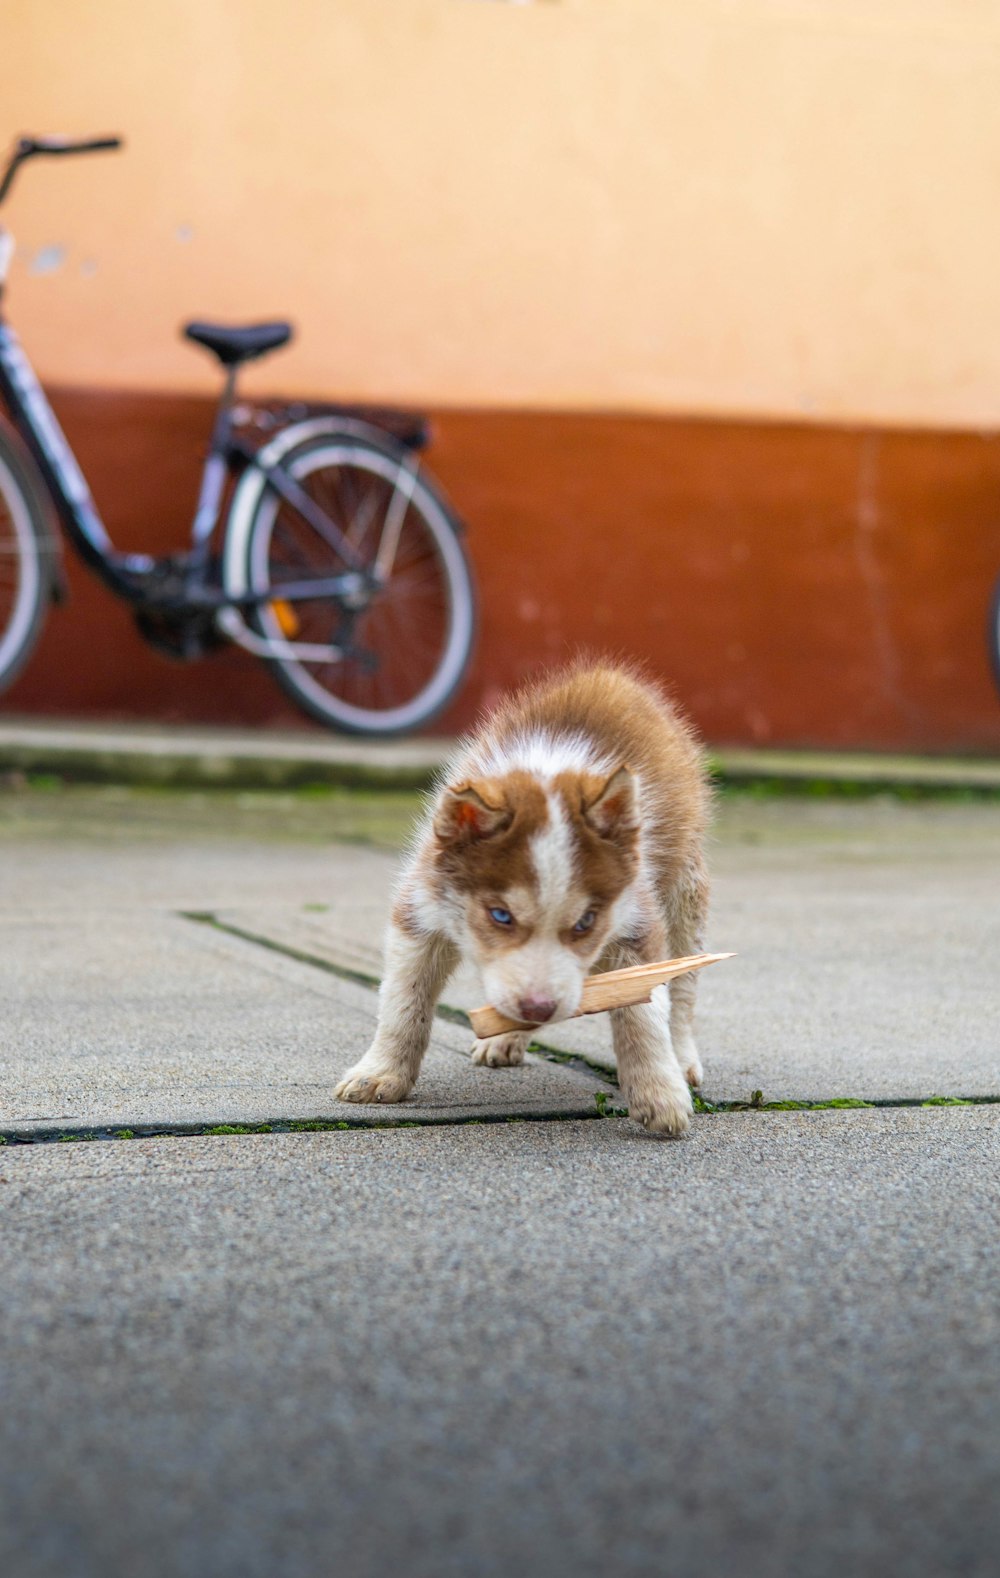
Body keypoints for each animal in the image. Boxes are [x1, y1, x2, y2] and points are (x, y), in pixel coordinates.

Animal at [334, 662, 709, 1136]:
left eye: (586, 922)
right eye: (500, 915)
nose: (539, 1007)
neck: (548, 770)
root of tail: (613, 676)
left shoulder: (636, 920)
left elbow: (644, 1013)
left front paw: (660, 1092)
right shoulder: (421, 908)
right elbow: (404, 1003)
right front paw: (381, 1072)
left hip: (685, 894)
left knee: (684, 989)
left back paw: (683, 1057)